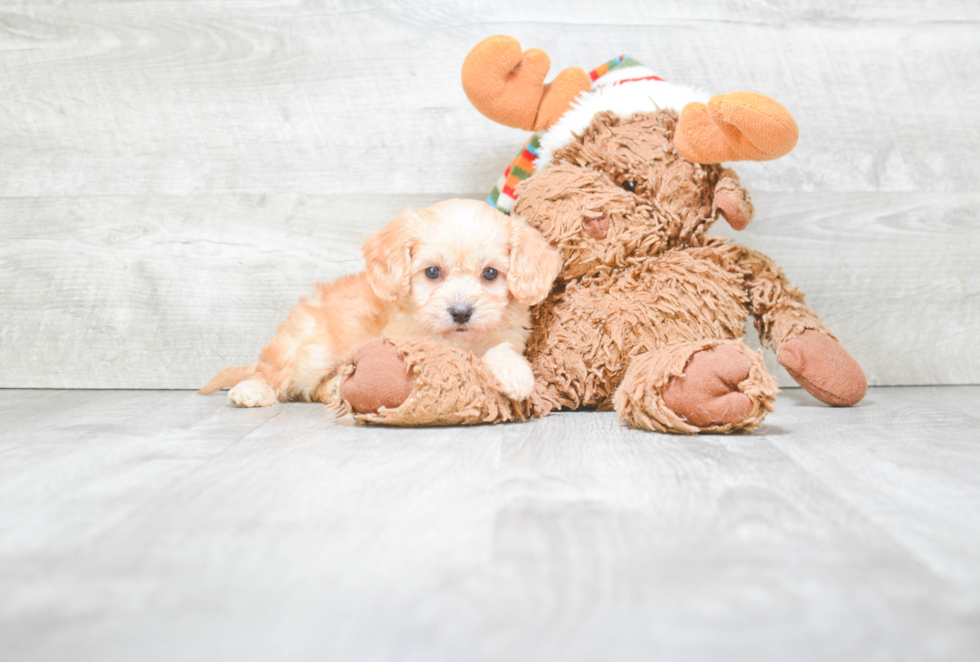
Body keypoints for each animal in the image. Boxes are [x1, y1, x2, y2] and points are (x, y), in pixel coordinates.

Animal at [197, 197, 560, 408]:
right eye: (432, 272)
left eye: (490, 274)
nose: (460, 312)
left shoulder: (508, 335)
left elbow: (501, 350)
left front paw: (514, 373)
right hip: (309, 352)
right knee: (271, 375)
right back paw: (251, 391)